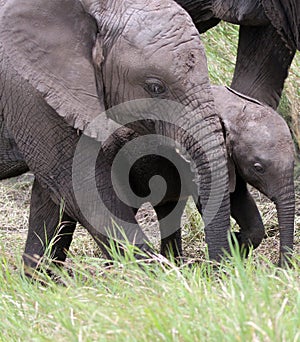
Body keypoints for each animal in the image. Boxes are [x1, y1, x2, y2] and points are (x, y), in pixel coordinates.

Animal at [0, 0, 232, 268]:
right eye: (156, 88)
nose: (218, 270)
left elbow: (54, 195)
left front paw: (39, 277)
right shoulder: (29, 89)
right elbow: (82, 189)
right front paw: (158, 274)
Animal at [106, 85, 296, 264]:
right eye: (258, 167)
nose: (280, 268)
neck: (234, 109)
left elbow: (239, 197)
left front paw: (237, 241)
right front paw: (233, 242)